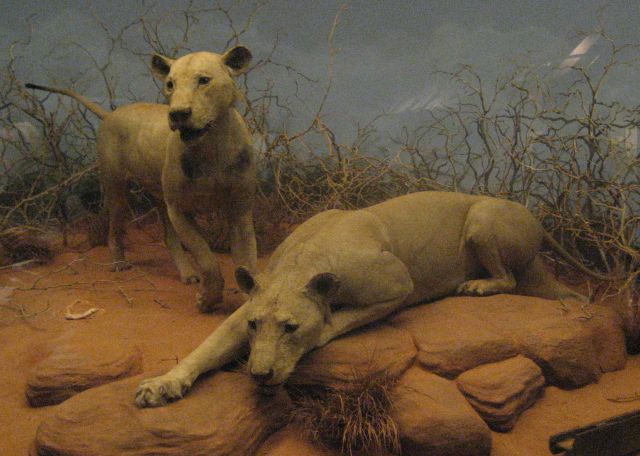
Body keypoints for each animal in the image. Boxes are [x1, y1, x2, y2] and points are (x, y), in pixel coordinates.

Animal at [26, 46, 257, 312]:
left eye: (203, 80)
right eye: (170, 84)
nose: (178, 113)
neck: (213, 146)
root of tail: (110, 114)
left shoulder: (240, 210)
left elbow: (246, 260)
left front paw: (249, 300)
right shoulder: (179, 210)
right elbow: (206, 258)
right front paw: (208, 299)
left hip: (159, 196)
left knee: (168, 237)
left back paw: (187, 274)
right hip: (117, 187)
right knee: (115, 228)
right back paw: (119, 263)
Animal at [135, 191, 606, 407]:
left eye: (291, 328)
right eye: (255, 326)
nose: (260, 374)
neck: (302, 264)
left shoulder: (398, 283)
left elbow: (337, 321)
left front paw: (323, 327)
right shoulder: (244, 310)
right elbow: (204, 349)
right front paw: (161, 385)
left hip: (483, 218)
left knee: (507, 277)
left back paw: (477, 285)